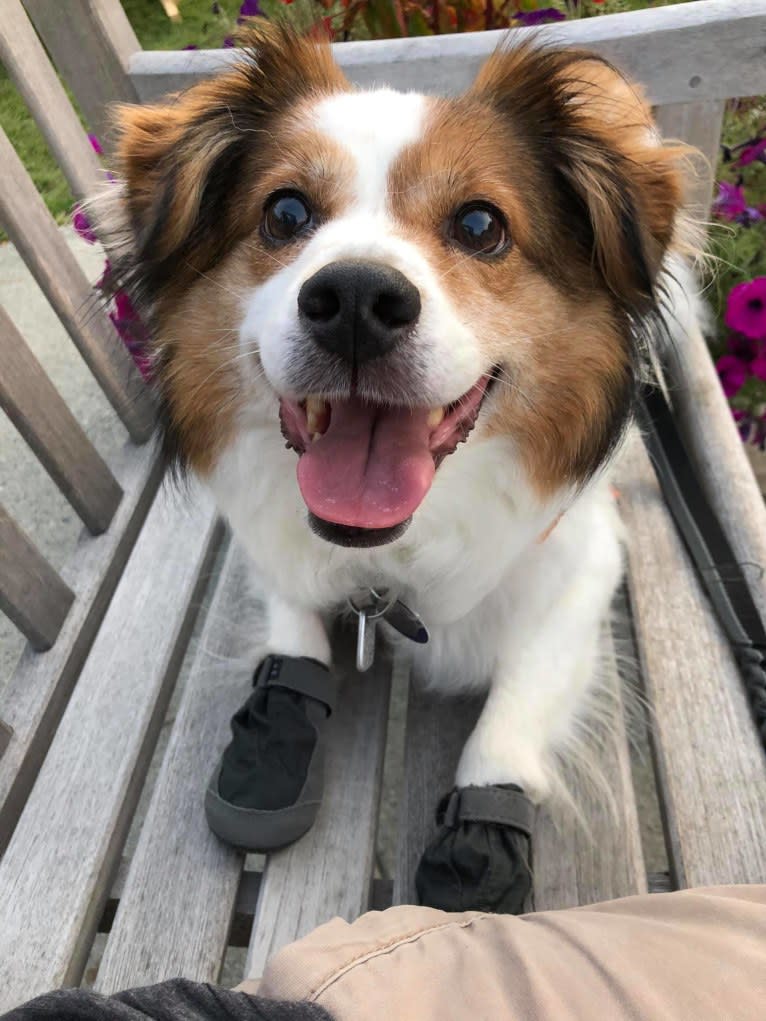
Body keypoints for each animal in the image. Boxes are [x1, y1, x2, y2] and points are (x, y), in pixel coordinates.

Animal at [105, 25, 698, 845]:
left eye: (481, 225)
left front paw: (477, 847)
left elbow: (507, 723)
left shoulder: (585, 566)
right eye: (284, 213)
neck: (388, 562)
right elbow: (292, 623)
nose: (355, 299)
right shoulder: (270, 546)